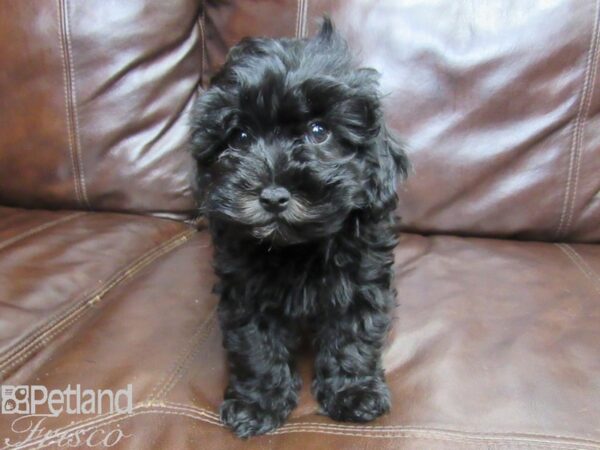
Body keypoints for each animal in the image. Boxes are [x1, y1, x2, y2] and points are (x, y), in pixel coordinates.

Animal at [190, 19, 410, 438]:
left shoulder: (361, 276)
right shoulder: (246, 290)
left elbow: (352, 333)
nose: (274, 196)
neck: (296, 247)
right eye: (240, 137)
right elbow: (256, 344)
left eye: (318, 131)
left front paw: (353, 393)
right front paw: (257, 404)